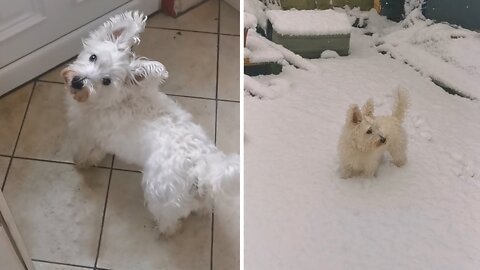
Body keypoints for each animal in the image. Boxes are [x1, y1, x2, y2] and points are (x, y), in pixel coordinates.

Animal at [61, 11, 239, 234]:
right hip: (199, 195)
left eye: (107, 81)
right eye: (93, 57)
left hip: (160, 194)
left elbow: (86, 152)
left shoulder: (88, 133)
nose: (78, 82)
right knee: (204, 206)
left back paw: (161, 229)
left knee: (170, 222)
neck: (113, 100)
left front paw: (82, 162)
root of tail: (201, 167)